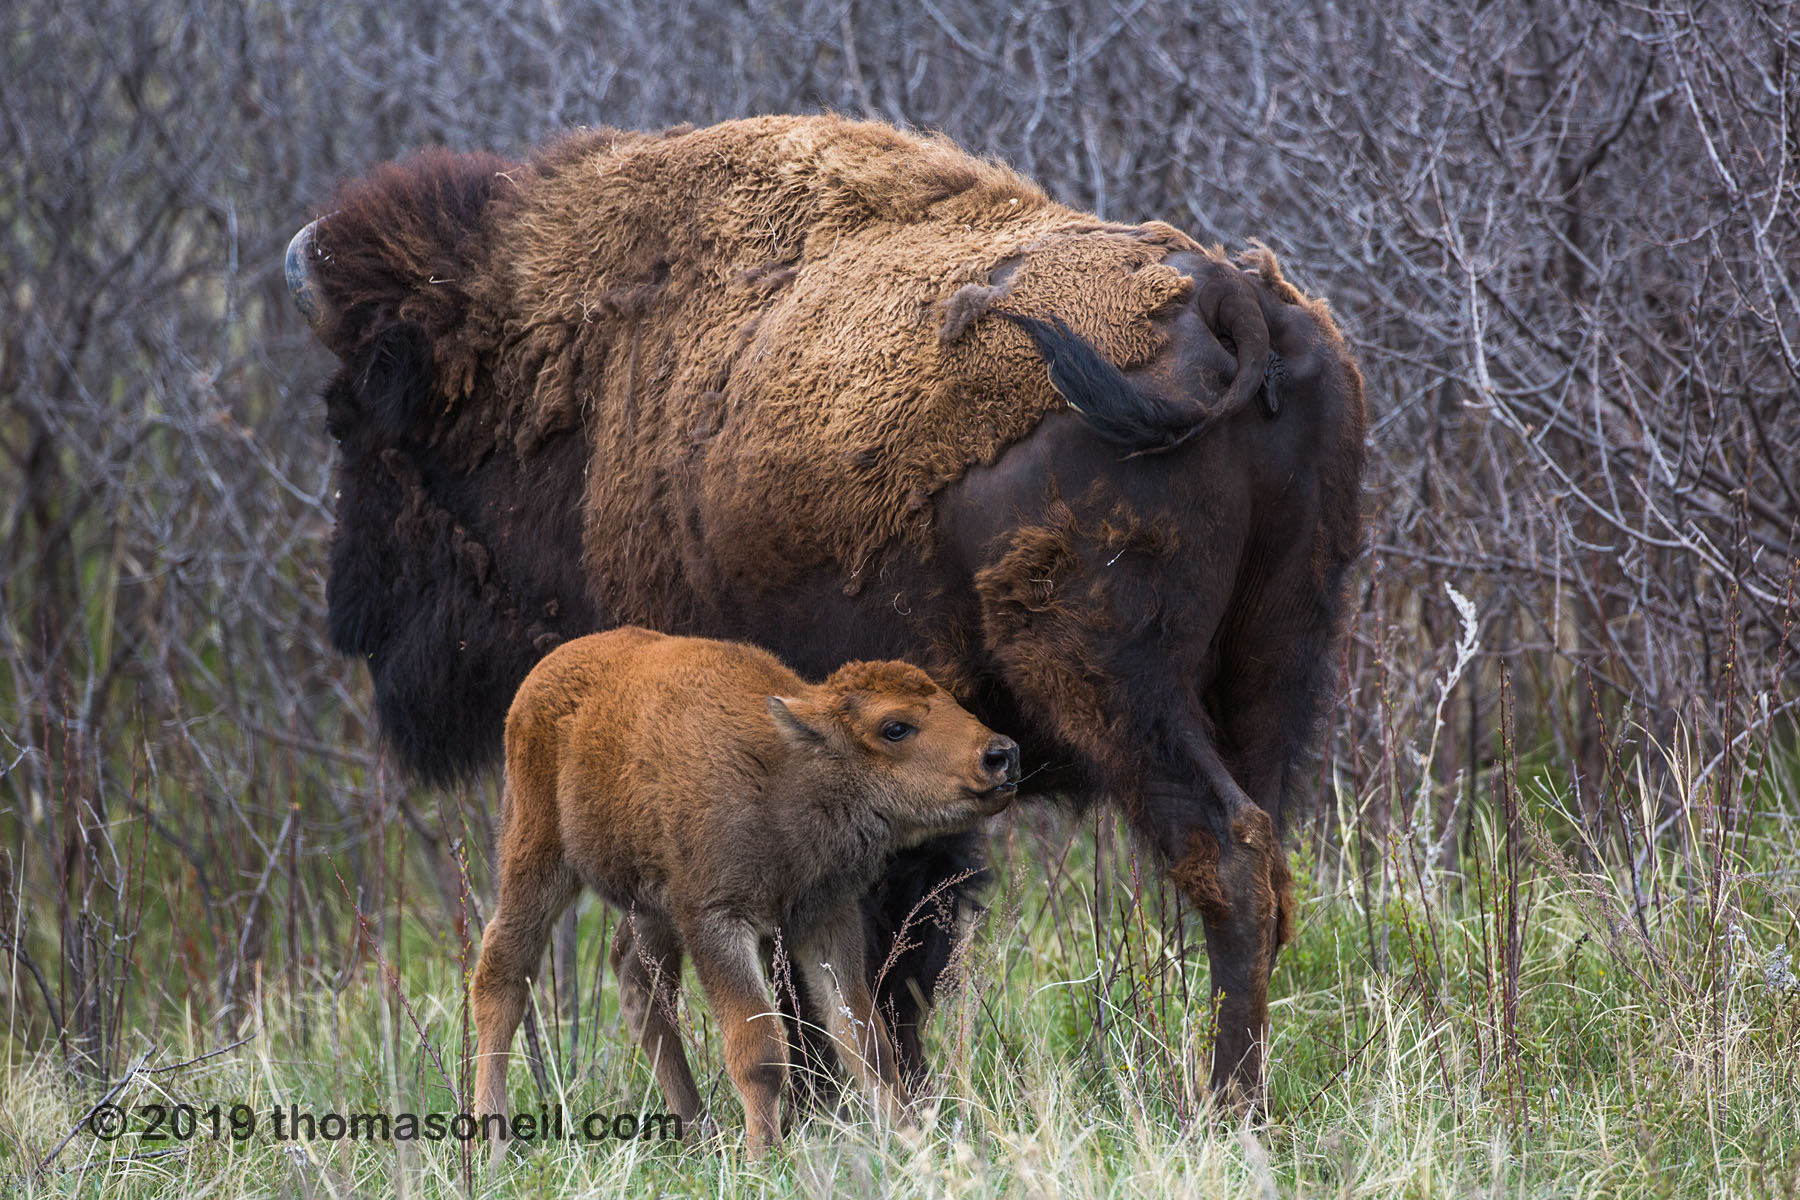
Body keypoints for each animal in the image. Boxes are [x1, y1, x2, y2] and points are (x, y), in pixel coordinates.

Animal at [288, 114, 1367, 1107]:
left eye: (355, 417)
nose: (350, 617)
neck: (586, 376)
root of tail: (1227, 296)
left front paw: (825, 1101)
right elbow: (891, 946)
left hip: (1112, 685)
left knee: (1221, 850)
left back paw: (1221, 1108)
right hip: (1278, 663)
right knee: (1264, 864)